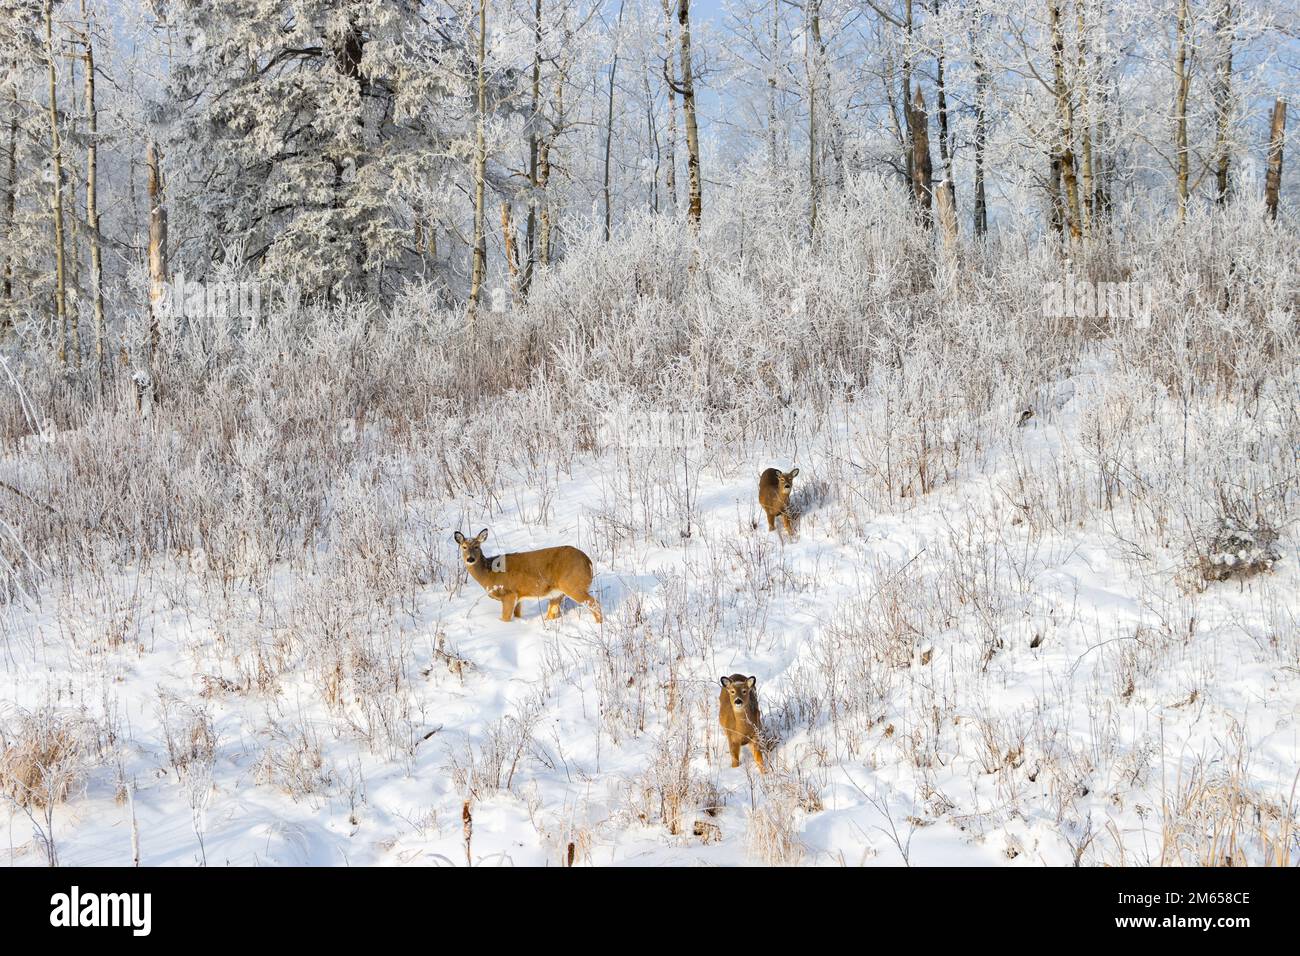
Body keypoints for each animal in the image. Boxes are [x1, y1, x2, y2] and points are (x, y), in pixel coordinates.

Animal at [452, 528, 603, 624]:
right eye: (464, 547)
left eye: (477, 546)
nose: (470, 559)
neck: (490, 573)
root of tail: (588, 561)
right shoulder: (519, 597)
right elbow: (517, 615)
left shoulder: (509, 594)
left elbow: (505, 619)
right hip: (557, 593)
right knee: (553, 613)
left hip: (573, 584)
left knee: (594, 603)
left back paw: (599, 625)